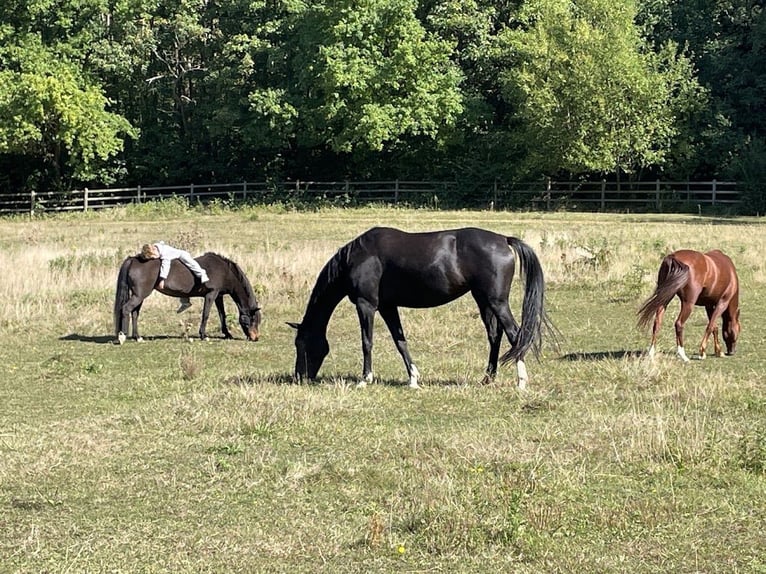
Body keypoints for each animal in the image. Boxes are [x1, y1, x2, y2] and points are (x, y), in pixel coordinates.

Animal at [114, 252, 261, 344]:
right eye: (253, 319)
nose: (255, 338)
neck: (225, 271)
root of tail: (133, 259)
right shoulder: (211, 294)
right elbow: (205, 314)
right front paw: (204, 335)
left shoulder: (218, 296)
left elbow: (222, 315)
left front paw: (227, 334)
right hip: (140, 295)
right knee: (126, 309)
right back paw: (123, 336)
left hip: (140, 296)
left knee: (135, 313)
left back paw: (137, 337)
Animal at [288, 227, 555, 389]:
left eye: (300, 344)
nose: (299, 377)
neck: (357, 257)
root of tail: (503, 239)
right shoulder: (388, 307)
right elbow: (400, 342)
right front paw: (413, 379)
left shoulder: (367, 305)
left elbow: (367, 342)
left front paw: (365, 379)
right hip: (484, 300)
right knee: (495, 335)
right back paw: (487, 378)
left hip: (497, 302)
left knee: (515, 335)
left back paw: (521, 382)